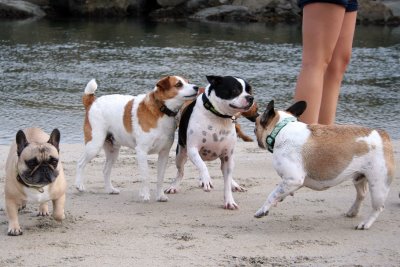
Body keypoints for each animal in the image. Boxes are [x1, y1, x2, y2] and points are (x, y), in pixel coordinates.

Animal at [164, 75, 255, 209]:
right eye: (235, 90)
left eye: (249, 91)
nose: (250, 98)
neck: (220, 117)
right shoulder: (193, 149)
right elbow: (203, 166)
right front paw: (206, 180)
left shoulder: (227, 157)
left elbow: (226, 183)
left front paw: (229, 201)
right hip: (180, 154)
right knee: (181, 171)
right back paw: (174, 186)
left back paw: (234, 184)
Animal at [255, 100, 396, 230]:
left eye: (255, 127)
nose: (255, 130)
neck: (281, 129)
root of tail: (384, 135)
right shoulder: (292, 182)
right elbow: (280, 191)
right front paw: (280, 198)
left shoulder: (293, 179)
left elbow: (272, 194)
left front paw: (262, 209)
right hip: (359, 177)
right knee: (361, 194)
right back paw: (353, 211)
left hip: (378, 185)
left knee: (378, 207)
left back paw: (365, 224)